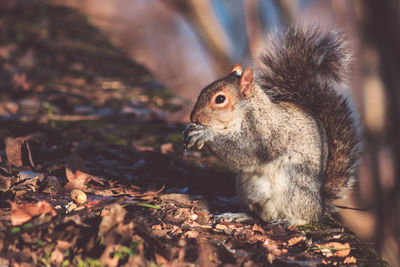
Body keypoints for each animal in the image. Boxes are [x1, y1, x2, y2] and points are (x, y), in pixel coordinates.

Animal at [184, 25, 362, 226]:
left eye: (220, 99)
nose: (193, 117)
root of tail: (320, 205)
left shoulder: (264, 134)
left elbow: (244, 153)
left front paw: (205, 134)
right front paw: (191, 129)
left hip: (294, 182)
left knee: (303, 216)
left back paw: (290, 221)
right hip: (245, 186)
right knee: (256, 214)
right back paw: (237, 214)